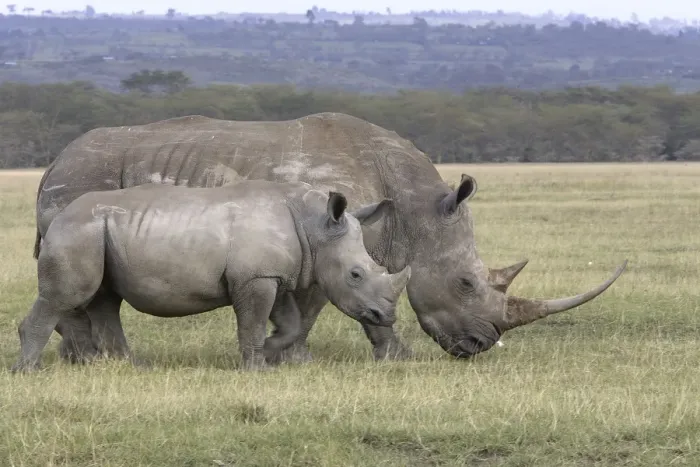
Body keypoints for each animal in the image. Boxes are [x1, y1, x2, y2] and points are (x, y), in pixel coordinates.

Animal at [12, 180, 412, 372]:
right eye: (356, 274)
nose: (386, 316)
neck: (314, 227)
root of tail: (54, 217)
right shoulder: (255, 278)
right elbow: (252, 321)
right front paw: (255, 368)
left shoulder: (271, 275)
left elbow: (290, 322)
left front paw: (269, 353)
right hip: (79, 232)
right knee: (67, 296)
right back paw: (29, 371)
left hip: (97, 233)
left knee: (104, 298)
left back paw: (129, 366)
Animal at [33, 112, 627, 363]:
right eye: (464, 283)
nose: (479, 347)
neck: (415, 210)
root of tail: (52, 161)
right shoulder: (329, 245)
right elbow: (317, 307)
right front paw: (299, 359)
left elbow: (361, 302)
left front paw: (391, 359)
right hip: (81, 182)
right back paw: (87, 360)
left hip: (85, 182)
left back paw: (81, 359)